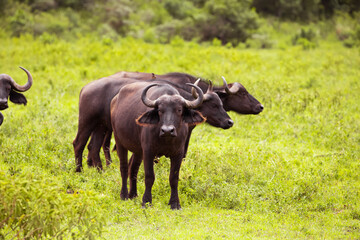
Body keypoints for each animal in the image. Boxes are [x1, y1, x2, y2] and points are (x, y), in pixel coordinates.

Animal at [72, 76, 233, 172]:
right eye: (213, 105)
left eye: (221, 103)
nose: (229, 122)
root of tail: (85, 88)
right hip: (86, 122)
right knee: (78, 144)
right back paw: (79, 170)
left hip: (101, 127)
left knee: (94, 147)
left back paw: (100, 171)